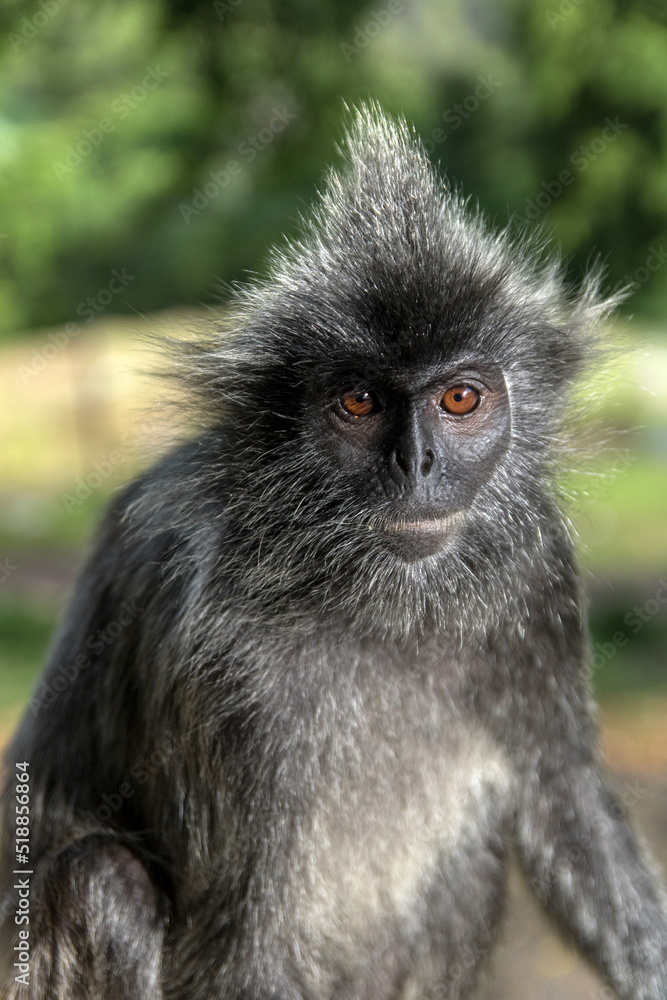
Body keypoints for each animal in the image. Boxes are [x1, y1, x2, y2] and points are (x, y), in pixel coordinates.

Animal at [1, 103, 667, 1000]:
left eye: (461, 398)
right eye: (357, 402)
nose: (417, 463)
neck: (368, 592)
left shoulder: (539, 568)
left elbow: (564, 797)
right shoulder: (210, 651)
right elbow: (241, 948)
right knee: (101, 879)